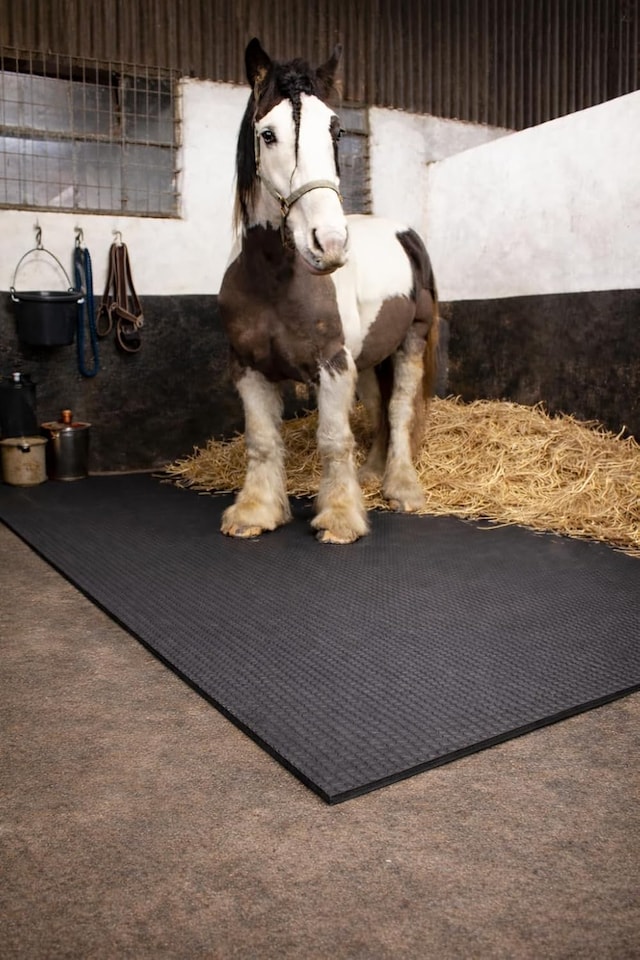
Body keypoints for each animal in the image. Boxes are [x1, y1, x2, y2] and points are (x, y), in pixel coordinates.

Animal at [218, 38, 439, 544]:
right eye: (267, 134)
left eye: (337, 132)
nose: (331, 243)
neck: (275, 280)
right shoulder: (249, 368)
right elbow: (262, 440)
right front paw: (255, 512)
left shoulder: (333, 366)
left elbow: (335, 440)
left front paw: (340, 518)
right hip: (372, 356)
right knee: (379, 409)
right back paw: (373, 474)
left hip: (411, 340)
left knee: (399, 409)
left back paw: (402, 487)